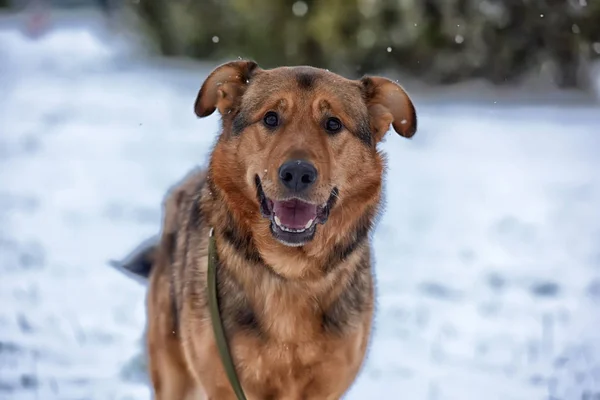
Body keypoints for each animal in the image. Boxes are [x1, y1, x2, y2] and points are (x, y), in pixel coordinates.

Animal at [110, 60, 414, 400]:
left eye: (333, 124)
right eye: (271, 118)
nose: (297, 173)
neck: (290, 272)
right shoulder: (225, 382)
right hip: (174, 376)